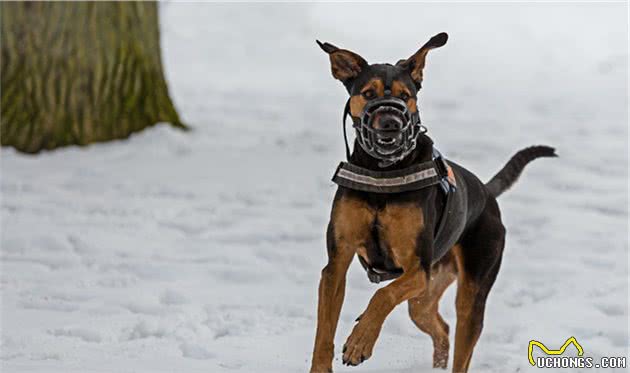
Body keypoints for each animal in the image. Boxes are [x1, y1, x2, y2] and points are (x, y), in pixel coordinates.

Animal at [312, 32, 556, 372]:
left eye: (405, 95)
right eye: (368, 93)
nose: (390, 123)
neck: (383, 171)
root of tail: (487, 194)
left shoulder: (417, 267)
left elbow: (383, 295)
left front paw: (360, 341)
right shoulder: (337, 261)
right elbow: (324, 331)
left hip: (470, 288)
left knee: (462, 337)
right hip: (426, 294)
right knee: (440, 326)